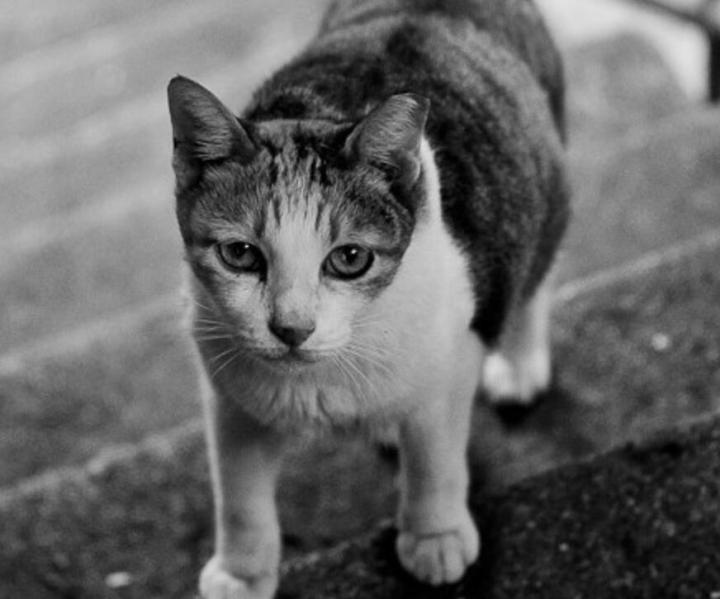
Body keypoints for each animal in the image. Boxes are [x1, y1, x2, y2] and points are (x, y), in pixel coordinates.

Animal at [167, 0, 568, 597]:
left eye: (350, 258)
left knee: (534, 272)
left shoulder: (450, 363)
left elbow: (434, 460)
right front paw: (242, 573)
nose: (291, 328)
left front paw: (434, 536)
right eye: (240, 254)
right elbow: (239, 496)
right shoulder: (230, 393)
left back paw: (520, 364)